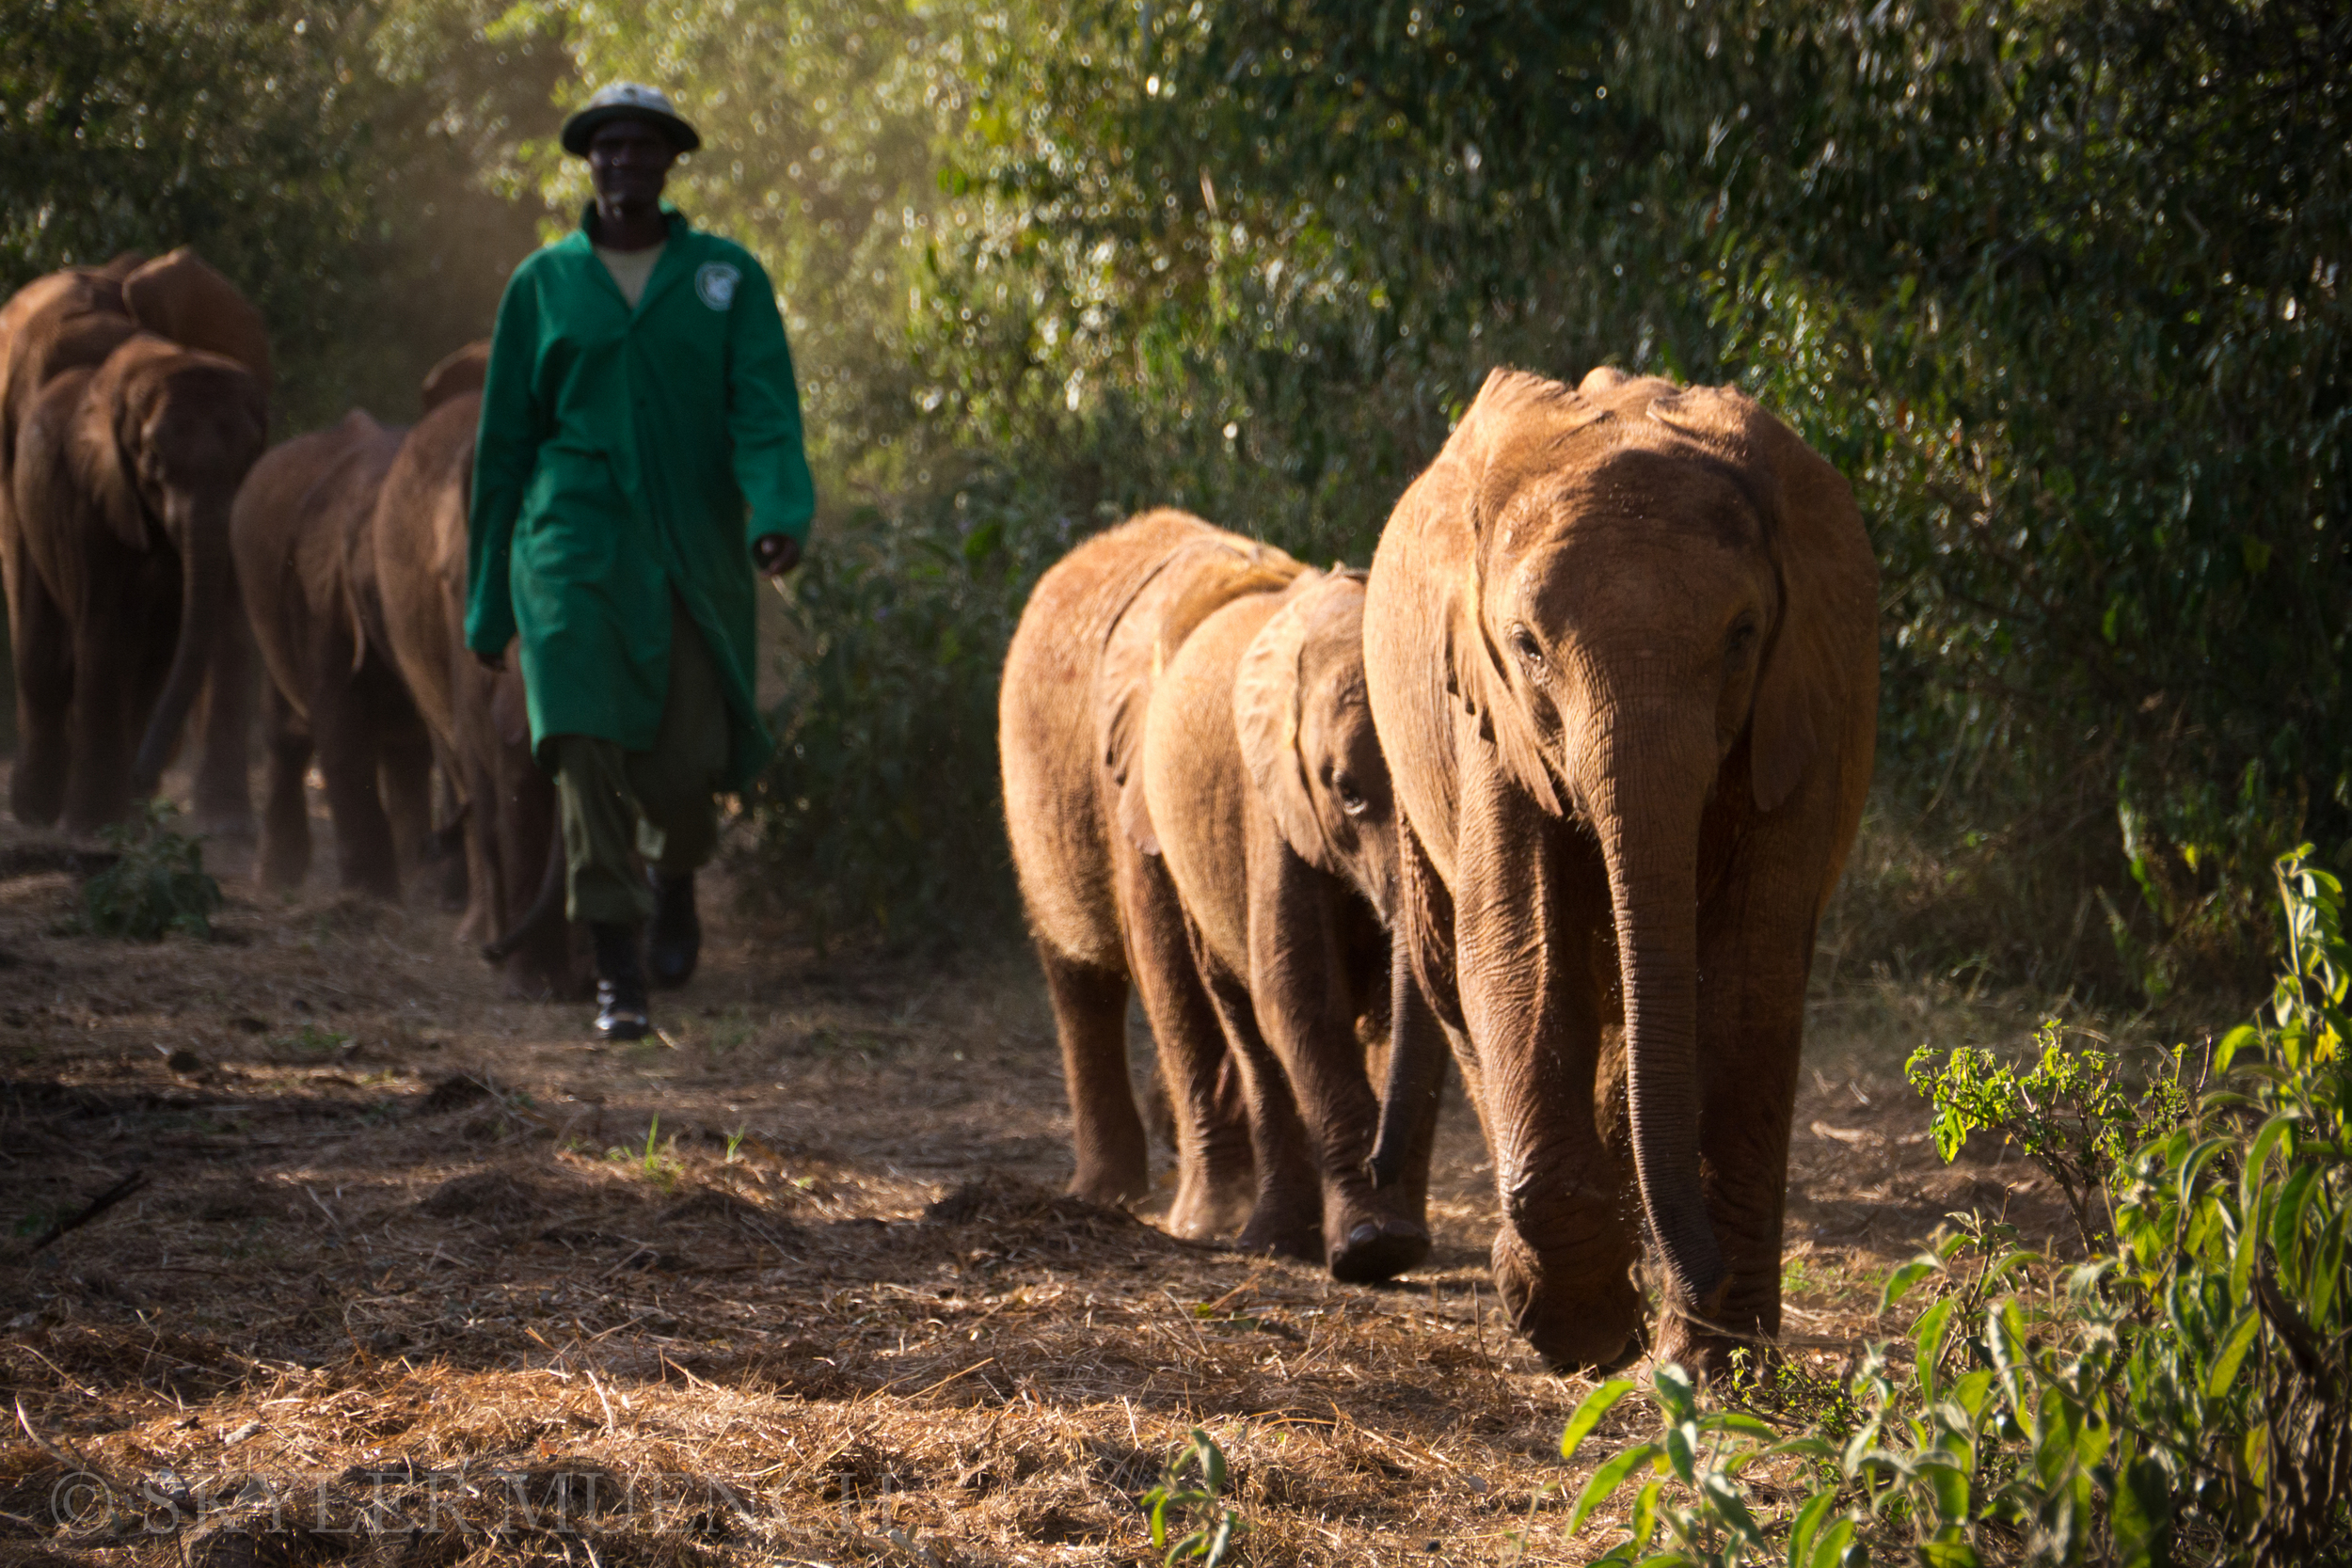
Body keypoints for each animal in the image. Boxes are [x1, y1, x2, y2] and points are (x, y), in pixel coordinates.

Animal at [2, 252, 270, 836]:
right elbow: (105, 632)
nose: (144, 779)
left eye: (251, 455)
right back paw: (36, 814)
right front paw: (91, 829)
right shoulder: (87, 490)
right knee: (41, 644)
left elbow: (173, 643)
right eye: (152, 464)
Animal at [230, 409, 436, 897]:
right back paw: (276, 882)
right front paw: (371, 896)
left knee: (408, 750)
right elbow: (343, 732)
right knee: (287, 734)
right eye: (378, 595)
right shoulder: (318, 595)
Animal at [1141, 565, 1440, 1279]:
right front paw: (1372, 1245)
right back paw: (1270, 1242)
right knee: (1248, 1022)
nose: (1377, 1161)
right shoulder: (1271, 804)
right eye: (1347, 792)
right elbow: (1301, 995)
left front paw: (1399, 1241)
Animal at [1361, 367, 1878, 1374]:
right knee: (1457, 982)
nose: (1704, 1278)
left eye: (1743, 635)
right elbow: (1517, 954)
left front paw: (1717, 1362)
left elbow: (1751, 979)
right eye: (1526, 644)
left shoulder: (1806, 704)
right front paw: (1589, 1336)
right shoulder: (1491, 718)